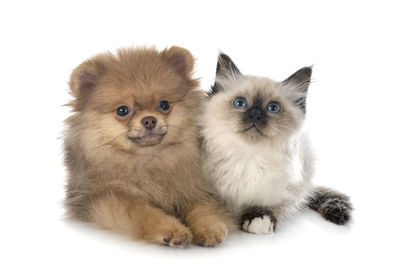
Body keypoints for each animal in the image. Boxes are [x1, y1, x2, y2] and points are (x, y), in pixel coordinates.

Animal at [63, 46, 234, 249]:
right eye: (122, 110)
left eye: (164, 105)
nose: (149, 120)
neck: (150, 159)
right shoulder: (108, 197)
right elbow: (144, 213)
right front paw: (172, 230)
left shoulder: (195, 190)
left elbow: (204, 210)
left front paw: (210, 229)